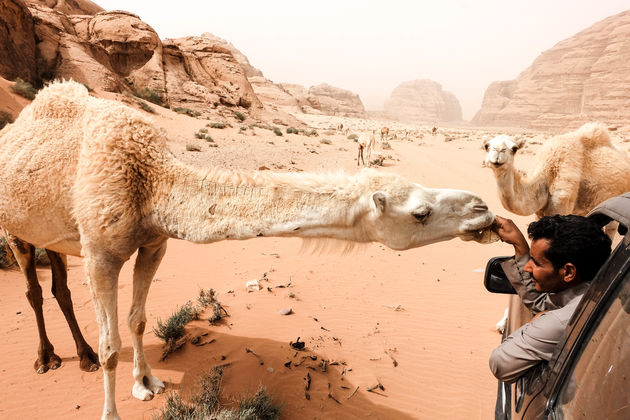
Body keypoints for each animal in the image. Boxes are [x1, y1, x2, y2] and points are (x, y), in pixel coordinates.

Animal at [0, 80, 498, 418]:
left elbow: (137, 320)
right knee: (35, 289)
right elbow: (111, 345)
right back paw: (48, 360)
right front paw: (112, 411)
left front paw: (146, 384)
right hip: (14, 230)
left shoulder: (154, 242)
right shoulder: (101, 252)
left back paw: (78, 356)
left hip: (53, 236)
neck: (152, 180)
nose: (483, 210)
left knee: (60, 284)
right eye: (420, 213)